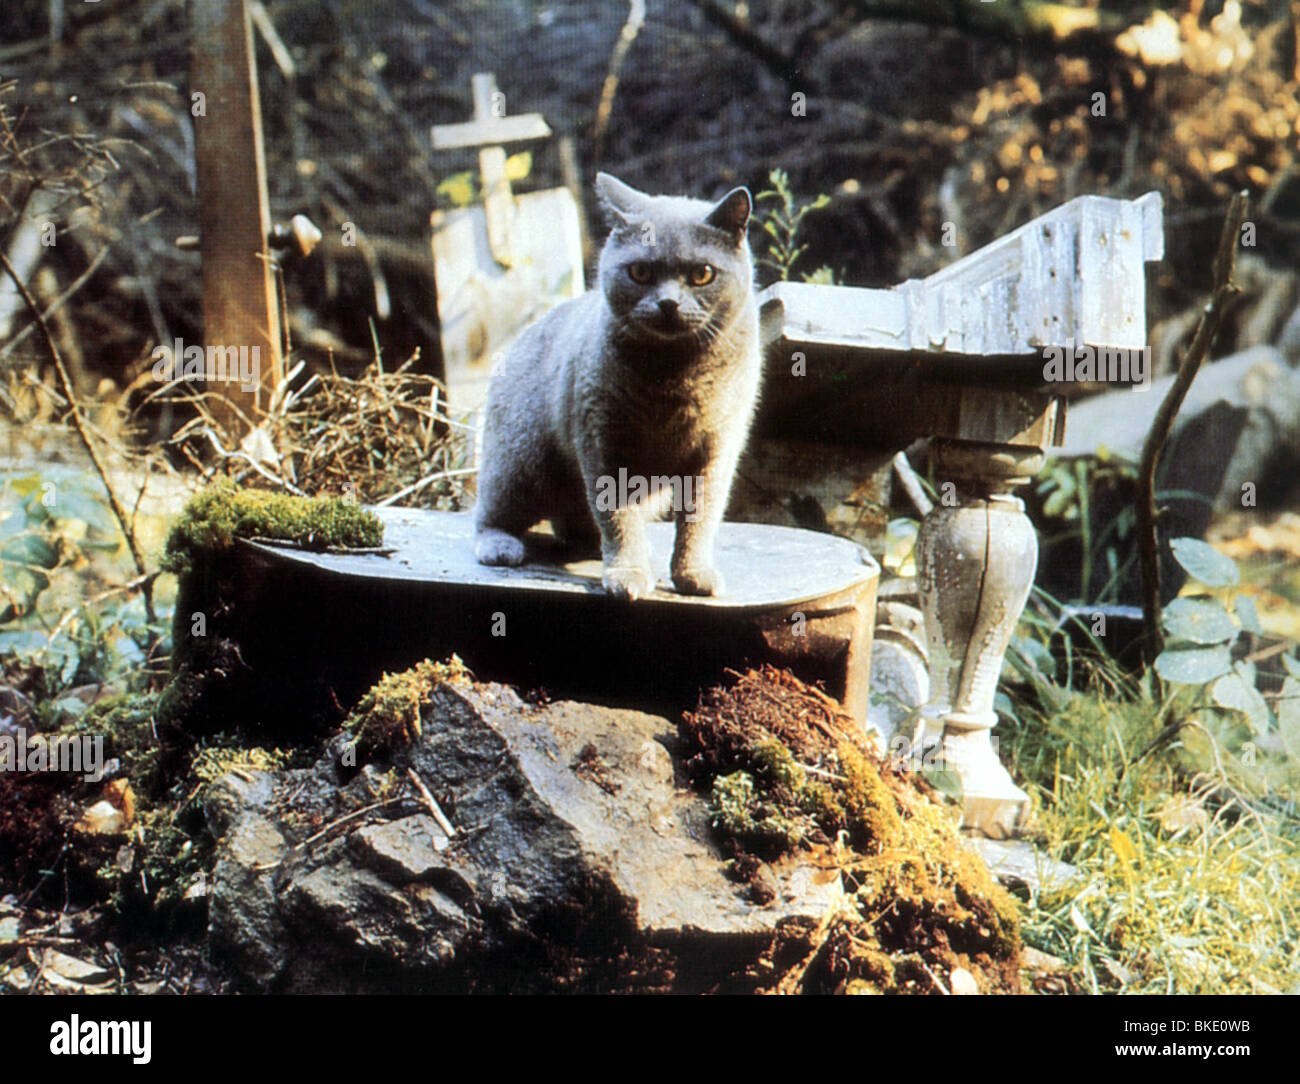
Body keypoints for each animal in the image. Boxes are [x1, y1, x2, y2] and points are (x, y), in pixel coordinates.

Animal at [475, 171, 759, 595]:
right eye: (640, 272)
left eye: (702, 274)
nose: (668, 304)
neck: (673, 379)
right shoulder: (603, 439)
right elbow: (617, 515)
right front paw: (627, 572)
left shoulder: (716, 449)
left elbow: (699, 518)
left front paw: (693, 573)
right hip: (521, 461)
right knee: (490, 511)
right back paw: (501, 545)